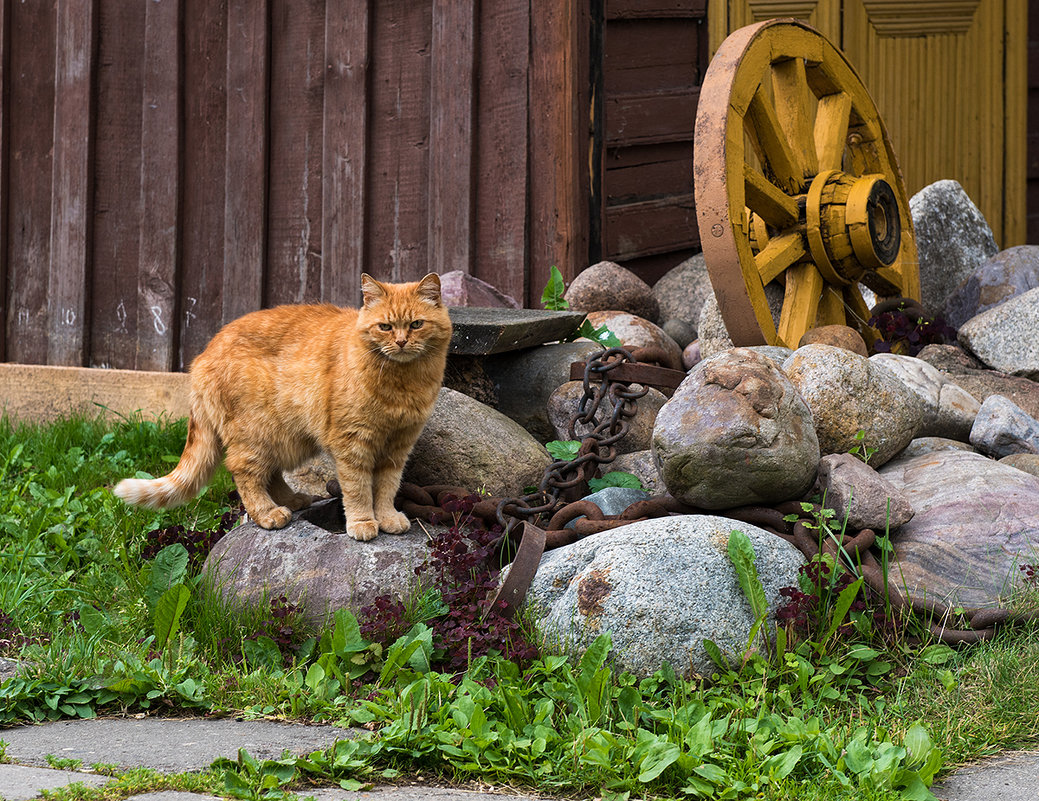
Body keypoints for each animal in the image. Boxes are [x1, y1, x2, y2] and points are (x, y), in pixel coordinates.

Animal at [115, 272, 453, 540]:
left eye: (416, 324)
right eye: (385, 327)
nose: (401, 342)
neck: (401, 384)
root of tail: (202, 355)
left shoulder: (398, 447)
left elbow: (386, 488)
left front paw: (386, 518)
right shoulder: (352, 443)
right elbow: (358, 488)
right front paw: (362, 522)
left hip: (285, 436)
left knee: (271, 473)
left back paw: (292, 501)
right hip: (256, 433)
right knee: (243, 471)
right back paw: (267, 513)